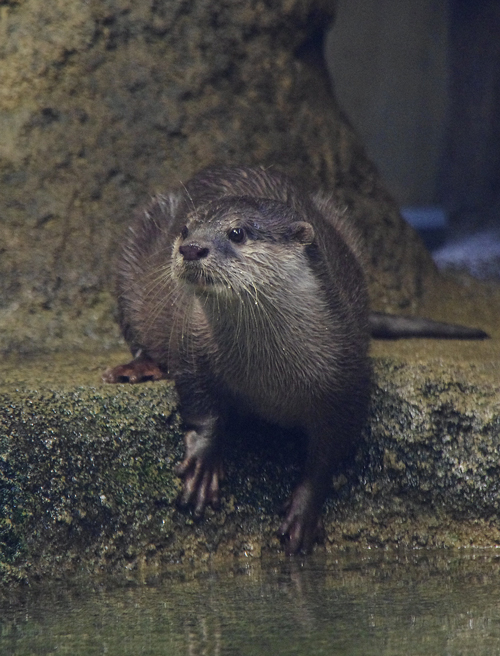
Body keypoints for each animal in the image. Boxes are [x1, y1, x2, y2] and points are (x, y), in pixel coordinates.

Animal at [102, 165, 488, 552]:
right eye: (184, 228)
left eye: (237, 232)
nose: (191, 247)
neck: (268, 377)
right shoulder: (191, 345)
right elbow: (201, 407)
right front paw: (202, 464)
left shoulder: (350, 376)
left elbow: (329, 452)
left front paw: (304, 510)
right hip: (136, 242)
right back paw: (138, 367)